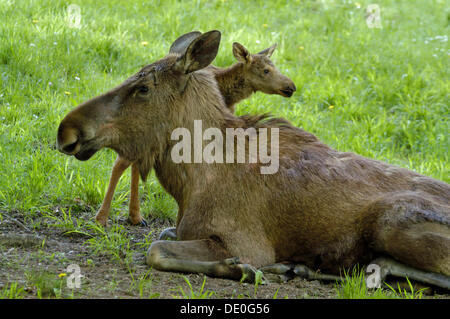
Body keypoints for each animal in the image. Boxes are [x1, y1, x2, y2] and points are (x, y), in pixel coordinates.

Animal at [56, 30, 450, 290]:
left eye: (142, 88)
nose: (66, 130)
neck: (188, 181)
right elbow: (162, 235)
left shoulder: (246, 241)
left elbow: (155, 250)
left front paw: (240, 268)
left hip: (390, 221)